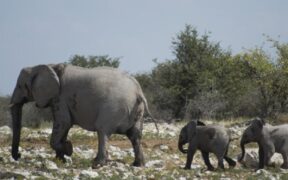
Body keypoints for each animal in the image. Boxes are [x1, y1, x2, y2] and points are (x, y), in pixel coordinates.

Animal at [10, 63, 158, 167]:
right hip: (137, 110)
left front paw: (68, 149)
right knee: (135, 135)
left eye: (20, 86)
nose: (19, 155)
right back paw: (138, 165)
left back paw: (97, 164)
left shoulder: (60, 98)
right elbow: (64, 126)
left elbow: (63, 123)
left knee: (102, 130)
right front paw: (60, 160)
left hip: (113, 107)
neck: (48, 65)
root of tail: (138, 91)